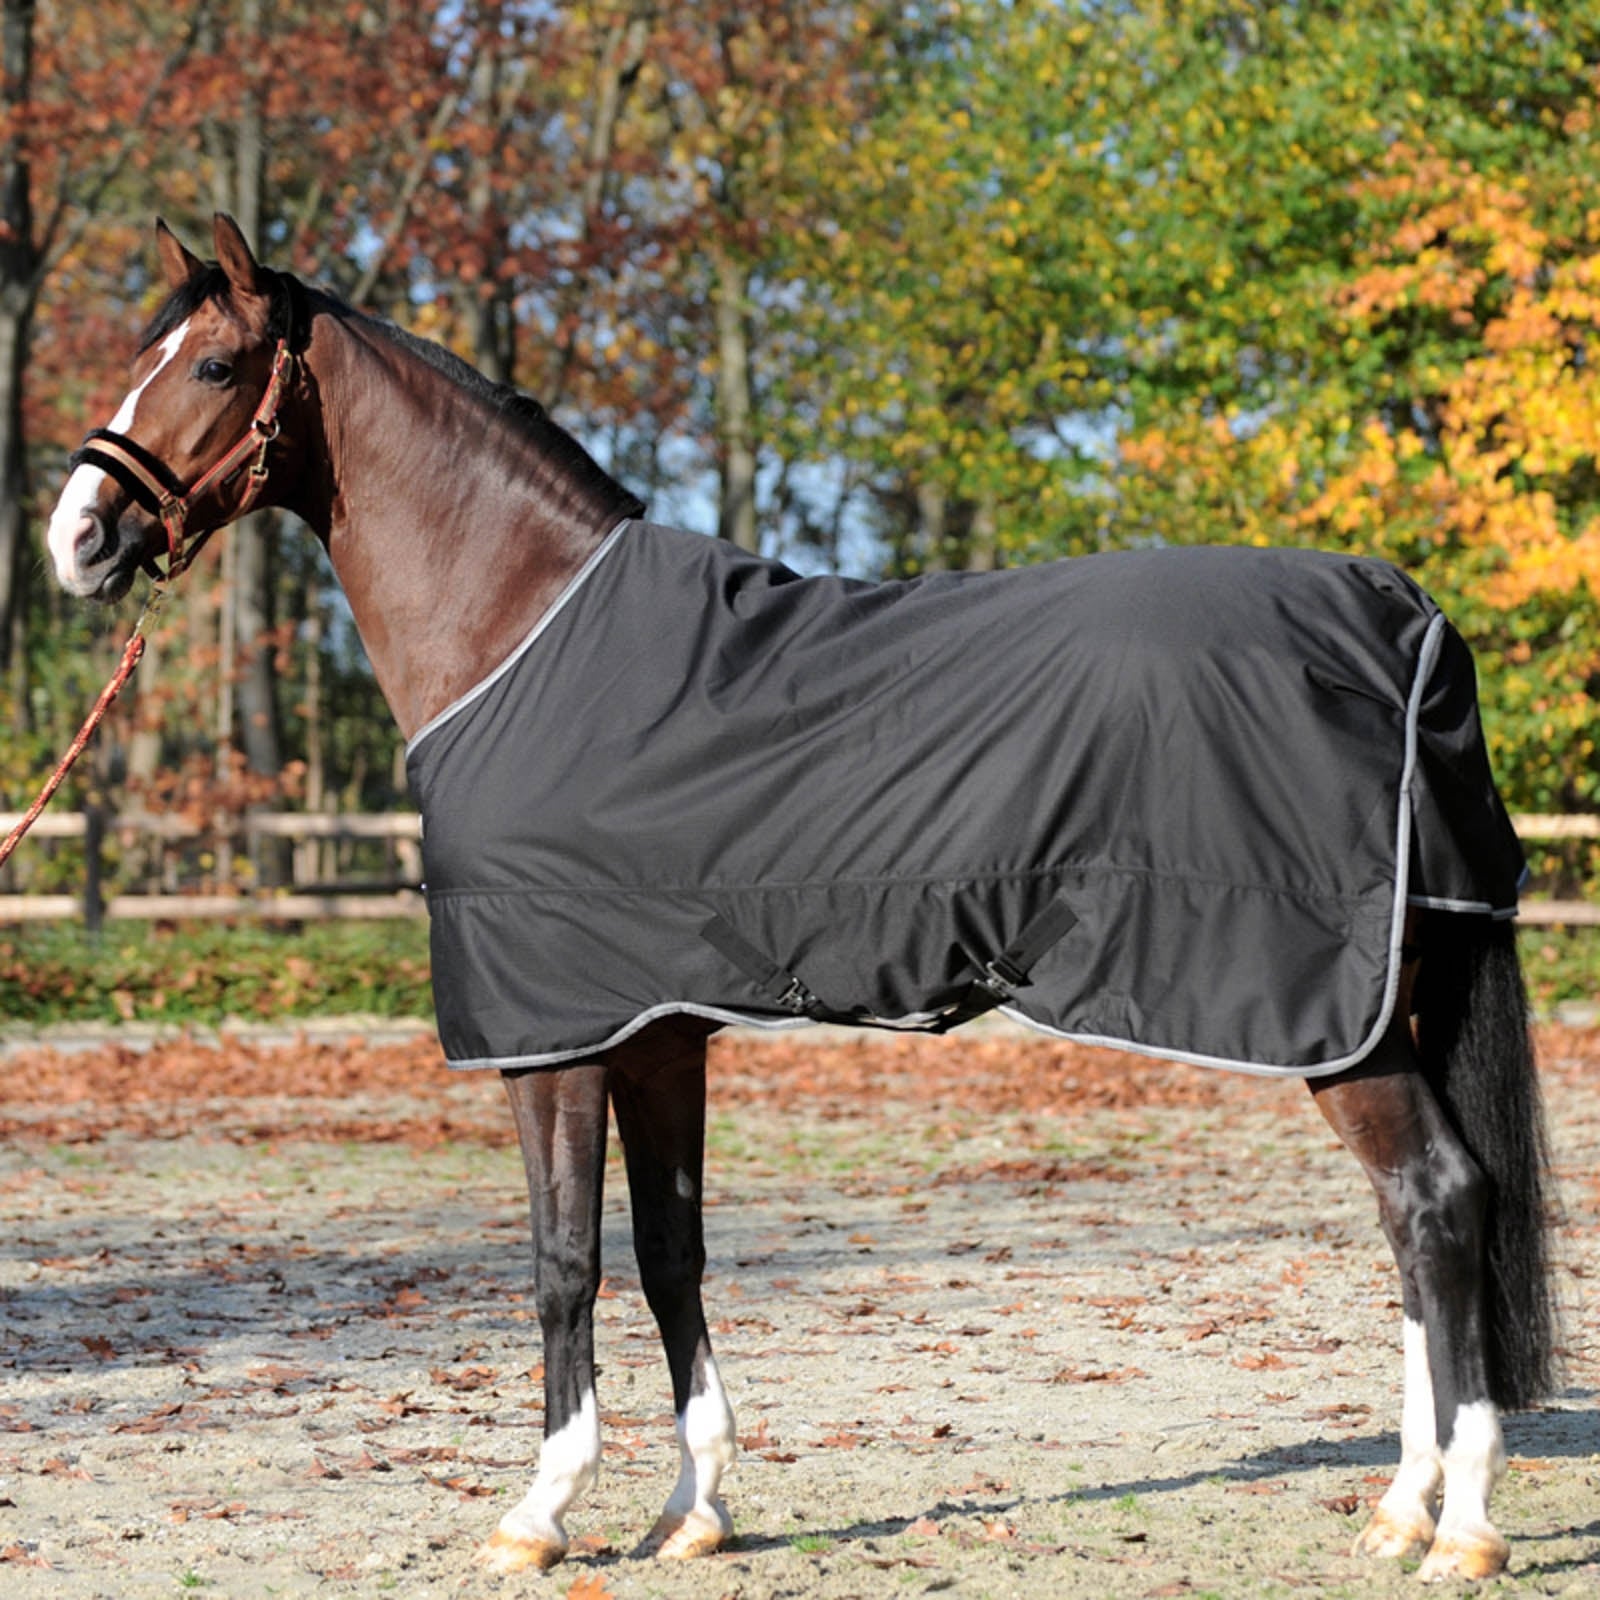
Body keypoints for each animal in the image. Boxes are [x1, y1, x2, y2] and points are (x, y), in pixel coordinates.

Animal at [43, 215, 1556, 1582]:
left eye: (216, 363)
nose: (78, 536)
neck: (525, 629)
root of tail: (1402, 616)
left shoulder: (552, 1036)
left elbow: (561, 1259)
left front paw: (541, 1511)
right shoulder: (658, 1031)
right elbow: (671, 1253)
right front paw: (693, 1508)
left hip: (1331, 1021)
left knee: (1435, 1200)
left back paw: (1463, 1527)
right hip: (1382, 1008)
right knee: (1410, 1227)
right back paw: (1400, 1507)